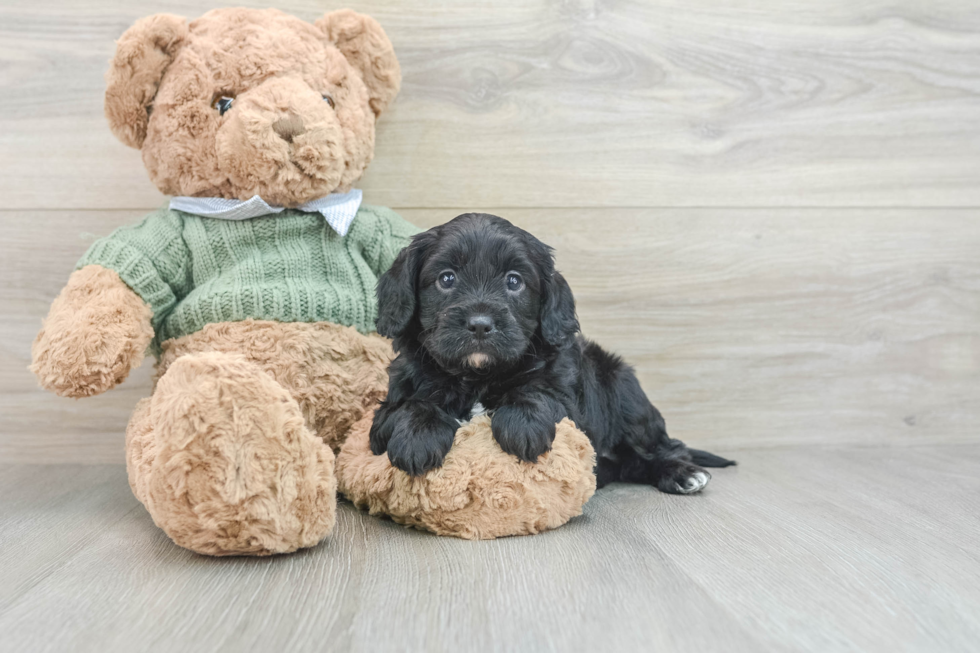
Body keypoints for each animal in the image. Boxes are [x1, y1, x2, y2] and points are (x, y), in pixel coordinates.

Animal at [370, 211, 736, 492]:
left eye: (514, 281)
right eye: (446, 279)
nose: (480, 325)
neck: (477, 375)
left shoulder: (567, 399)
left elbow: (538, 392)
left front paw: (523, 425)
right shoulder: (390, 406)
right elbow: (409, 405)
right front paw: (418, 436)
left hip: (624, 390)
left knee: (662, 446)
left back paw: (682, 472)